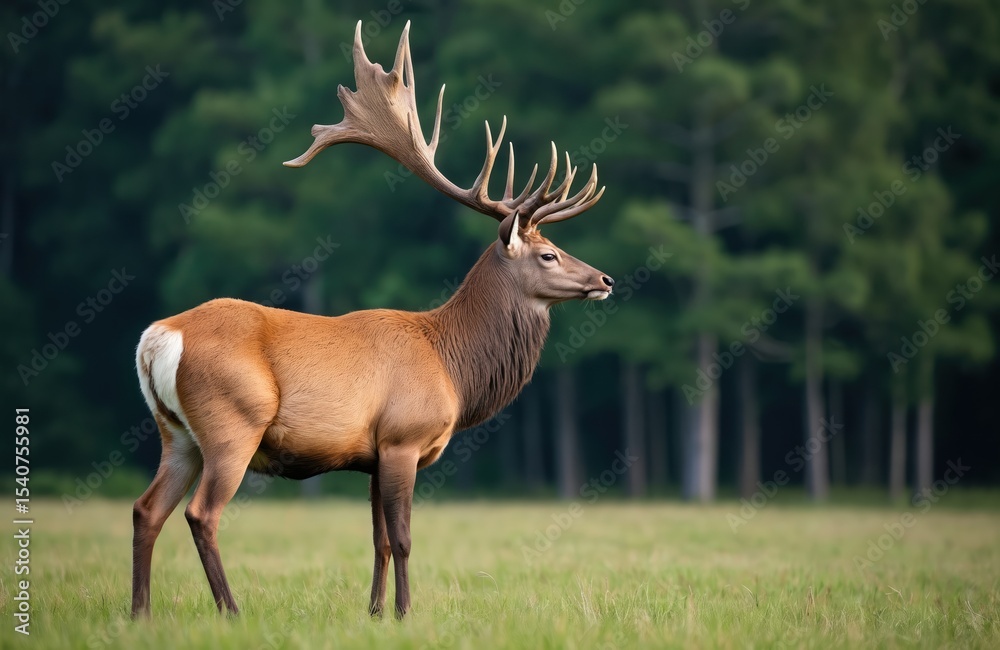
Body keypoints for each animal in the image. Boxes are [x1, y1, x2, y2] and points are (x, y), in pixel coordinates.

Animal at [131, 20, 614, 620]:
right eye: (548, 254)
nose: (604, 279)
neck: (452, 366)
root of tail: (157, 339)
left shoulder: (373, 452)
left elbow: (378, 540)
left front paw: (376, 613)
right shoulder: (404, 437)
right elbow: (403, 538)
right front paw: (406, 613)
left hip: (176, 432)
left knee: (146, 509)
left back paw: (140, 613)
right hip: (232, 422)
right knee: (202, 513)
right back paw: (231, 611)